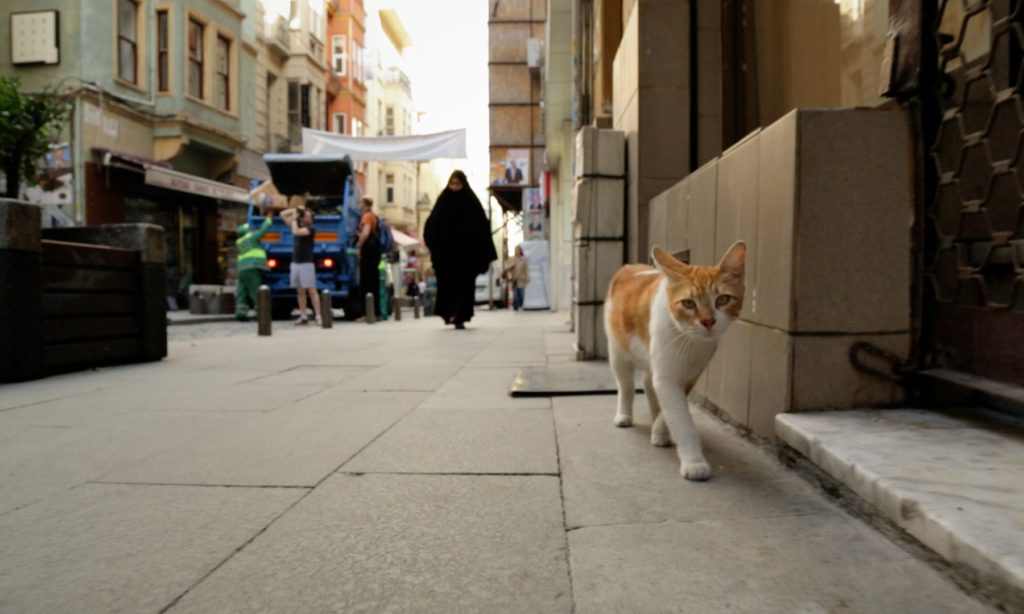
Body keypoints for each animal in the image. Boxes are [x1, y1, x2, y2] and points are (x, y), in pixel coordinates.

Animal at [606, 242, 745, 483]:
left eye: (723, 299)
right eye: (688, 303)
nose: (708, 321)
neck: (690, 341)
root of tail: (630, 266)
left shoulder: (691, 373)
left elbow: (669, 409)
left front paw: (660, 430)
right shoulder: (668, 376)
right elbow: (681, 419)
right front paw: (694, 462)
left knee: (648, 383)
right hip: (618, 350)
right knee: (626, 386)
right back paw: (624, 415)